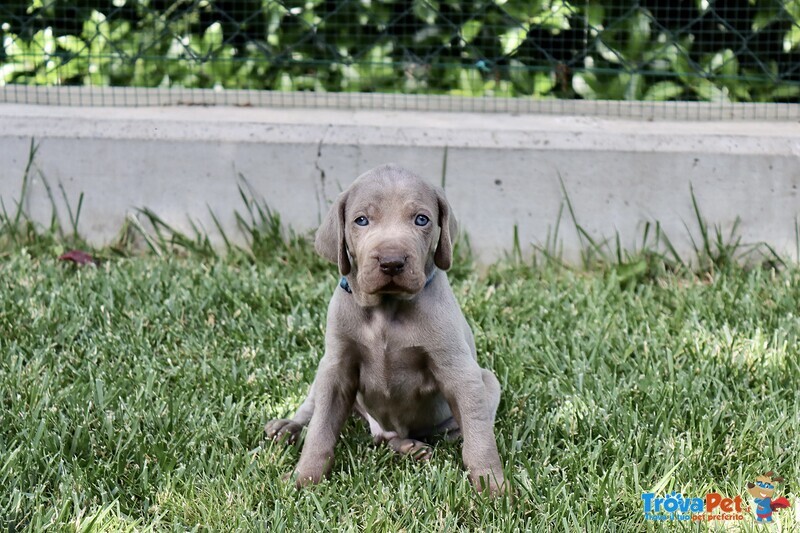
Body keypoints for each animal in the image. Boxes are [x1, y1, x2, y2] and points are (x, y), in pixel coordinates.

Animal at [268, 163, 506, 494]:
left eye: (422, 219)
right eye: (361, 220)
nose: (391, 262)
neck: (386, 310)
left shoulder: (460, 371)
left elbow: (478, 436)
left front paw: (491, 485)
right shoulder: (337, 367)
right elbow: (320, 429)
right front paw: (304, 479)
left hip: (487, 382)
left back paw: (410, 447)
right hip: (323, 371)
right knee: (312, 408)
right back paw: (287, 426)